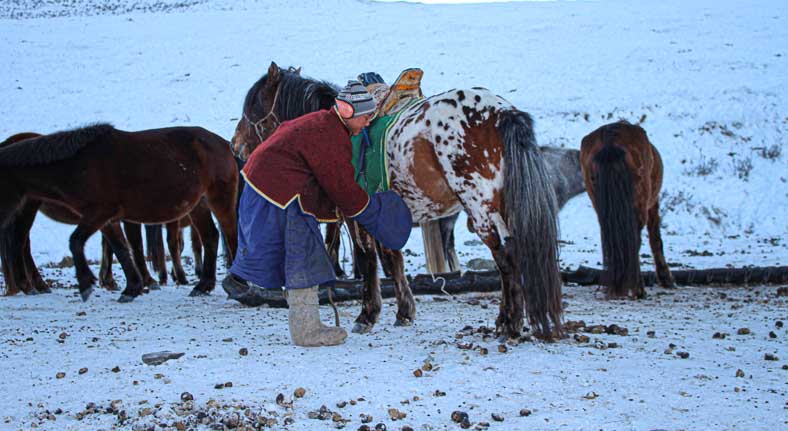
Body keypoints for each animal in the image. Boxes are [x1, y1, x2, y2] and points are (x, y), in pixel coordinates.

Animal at [0, 123, 240, 302]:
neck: (78, 164)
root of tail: (224, 144)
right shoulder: (107, 219)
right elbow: (121, 248)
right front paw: (132, 287)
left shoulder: (99, 213)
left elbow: (76, 241)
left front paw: (86, 284)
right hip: (198, 206)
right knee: (210, 237)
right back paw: (203, 285)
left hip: (218, 200)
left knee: (230, 234)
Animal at [231, 63, 564, 340]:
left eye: (253, 106)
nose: (236, 146)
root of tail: (502, 112)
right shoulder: (384, 215)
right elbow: (393, 261)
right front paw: (404, 311)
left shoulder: (358, 216)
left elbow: (369, 262)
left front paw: (367, 315)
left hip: (481, 208)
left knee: (506, 258)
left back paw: (510, 323)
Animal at [580, 120, 676, 298]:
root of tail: (610, 138)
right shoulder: (652, 203)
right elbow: (656, 239)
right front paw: (666, 278)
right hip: (640, 201)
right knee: (634, 238)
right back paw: (638, 289)